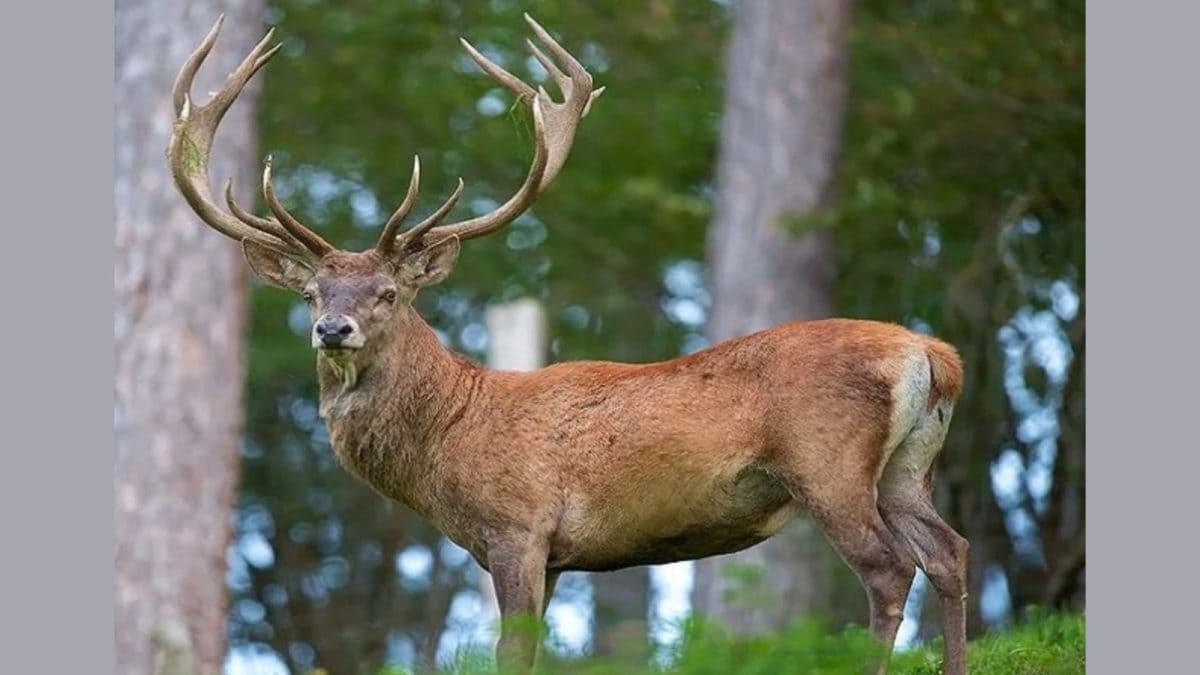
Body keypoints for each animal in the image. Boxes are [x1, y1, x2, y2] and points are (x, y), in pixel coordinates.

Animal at [167, 15, 970, 675]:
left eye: (389, 293)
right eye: (311, 294)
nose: (333, 329)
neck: (449, 436)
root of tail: (934, 356)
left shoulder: (517, 528)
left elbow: (511, 653)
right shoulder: (550, 555)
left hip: (828, 462)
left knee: (888, 570)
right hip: (907, 468)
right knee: (950, 552)